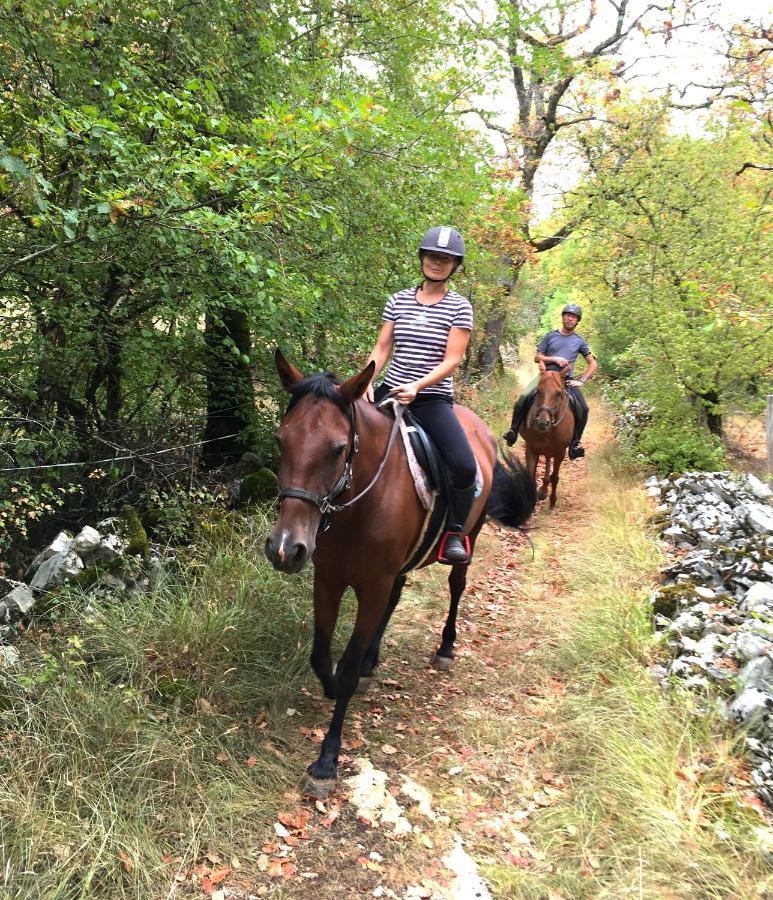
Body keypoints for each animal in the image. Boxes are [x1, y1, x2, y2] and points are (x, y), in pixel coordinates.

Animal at [266, 348, 536, 800]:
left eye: (338, 449)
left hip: (469, 540)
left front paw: (326, 762)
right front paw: (333, 685)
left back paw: (445, 648)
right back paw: (375, 657)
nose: (286, 549)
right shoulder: (329, 580)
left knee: (456, 586)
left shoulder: (372, 585)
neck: (361, 502)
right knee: (400, 590)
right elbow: (321, 656)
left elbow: (347, 669)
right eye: (281, 440)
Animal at [520, 362, 572, 510]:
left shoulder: (560, 452)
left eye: (558, 393)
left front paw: (553, 502)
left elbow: (555, 477)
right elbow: (530, 474)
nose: (543, 423)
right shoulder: (531, 449)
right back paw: (543, 490)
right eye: (538, 391)